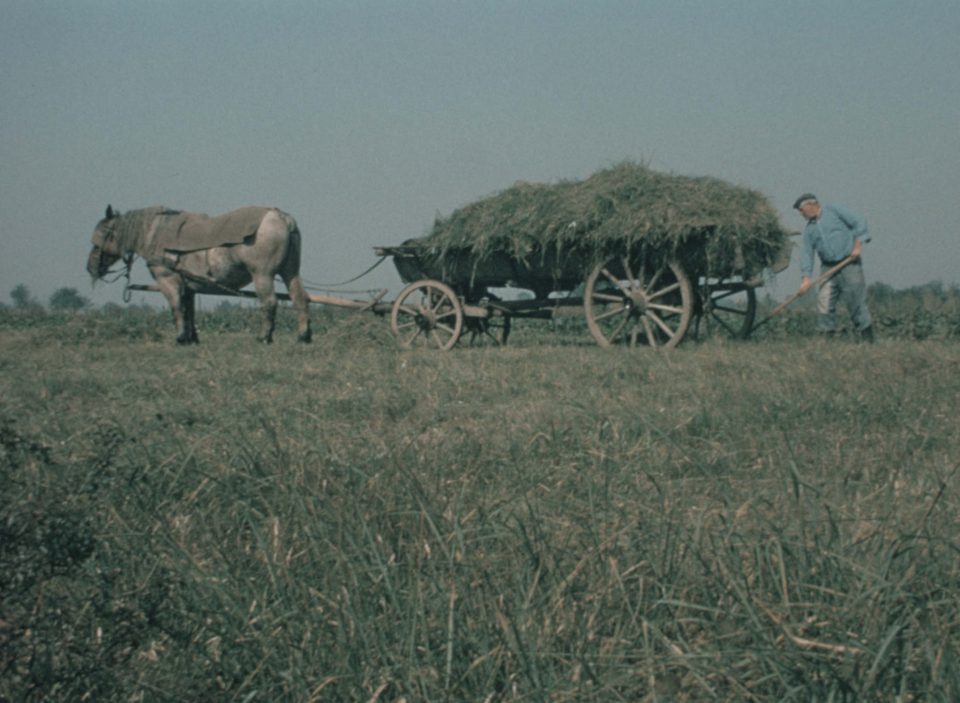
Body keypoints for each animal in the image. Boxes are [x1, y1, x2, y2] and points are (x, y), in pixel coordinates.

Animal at [86, 205, 312, 346]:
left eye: (103, 234)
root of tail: (281, 217)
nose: (90, 267)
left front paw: (180, 338)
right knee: (299, 298)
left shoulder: (168, 280)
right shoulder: (189, 286)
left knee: (269, 302)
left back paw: (264, 337)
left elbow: (177, 307)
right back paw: (303, 336)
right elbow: (189, 311)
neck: (155, 233)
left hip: (262, 275)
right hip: (290, 272)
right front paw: (191, 338)